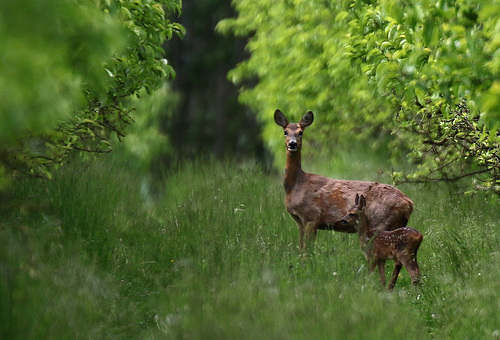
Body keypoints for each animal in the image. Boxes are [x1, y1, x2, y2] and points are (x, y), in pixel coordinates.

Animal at [274, 110, 414, 251]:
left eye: (301, 132)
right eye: (285, 131)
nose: (292, 144)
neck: (295, 185)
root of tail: (408, 203)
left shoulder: (311, 217)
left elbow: (306, 250)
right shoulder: (300, 221)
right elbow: (301, 248)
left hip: (380, 221)